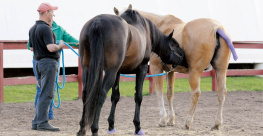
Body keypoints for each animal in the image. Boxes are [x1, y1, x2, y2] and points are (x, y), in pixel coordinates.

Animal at [77, 4, 186, 135]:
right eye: (176, 45)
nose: (184, 57)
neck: (147, 31)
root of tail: (97, 22)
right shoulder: (142, 69)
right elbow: (138, 96)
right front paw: (137, 127)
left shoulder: (118, 72)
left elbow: (115, 96)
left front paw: (111, 126)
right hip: (110, 71)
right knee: (101, 94)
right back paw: (94, 129)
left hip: (87, 69)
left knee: (85, 93)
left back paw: (82, 129)